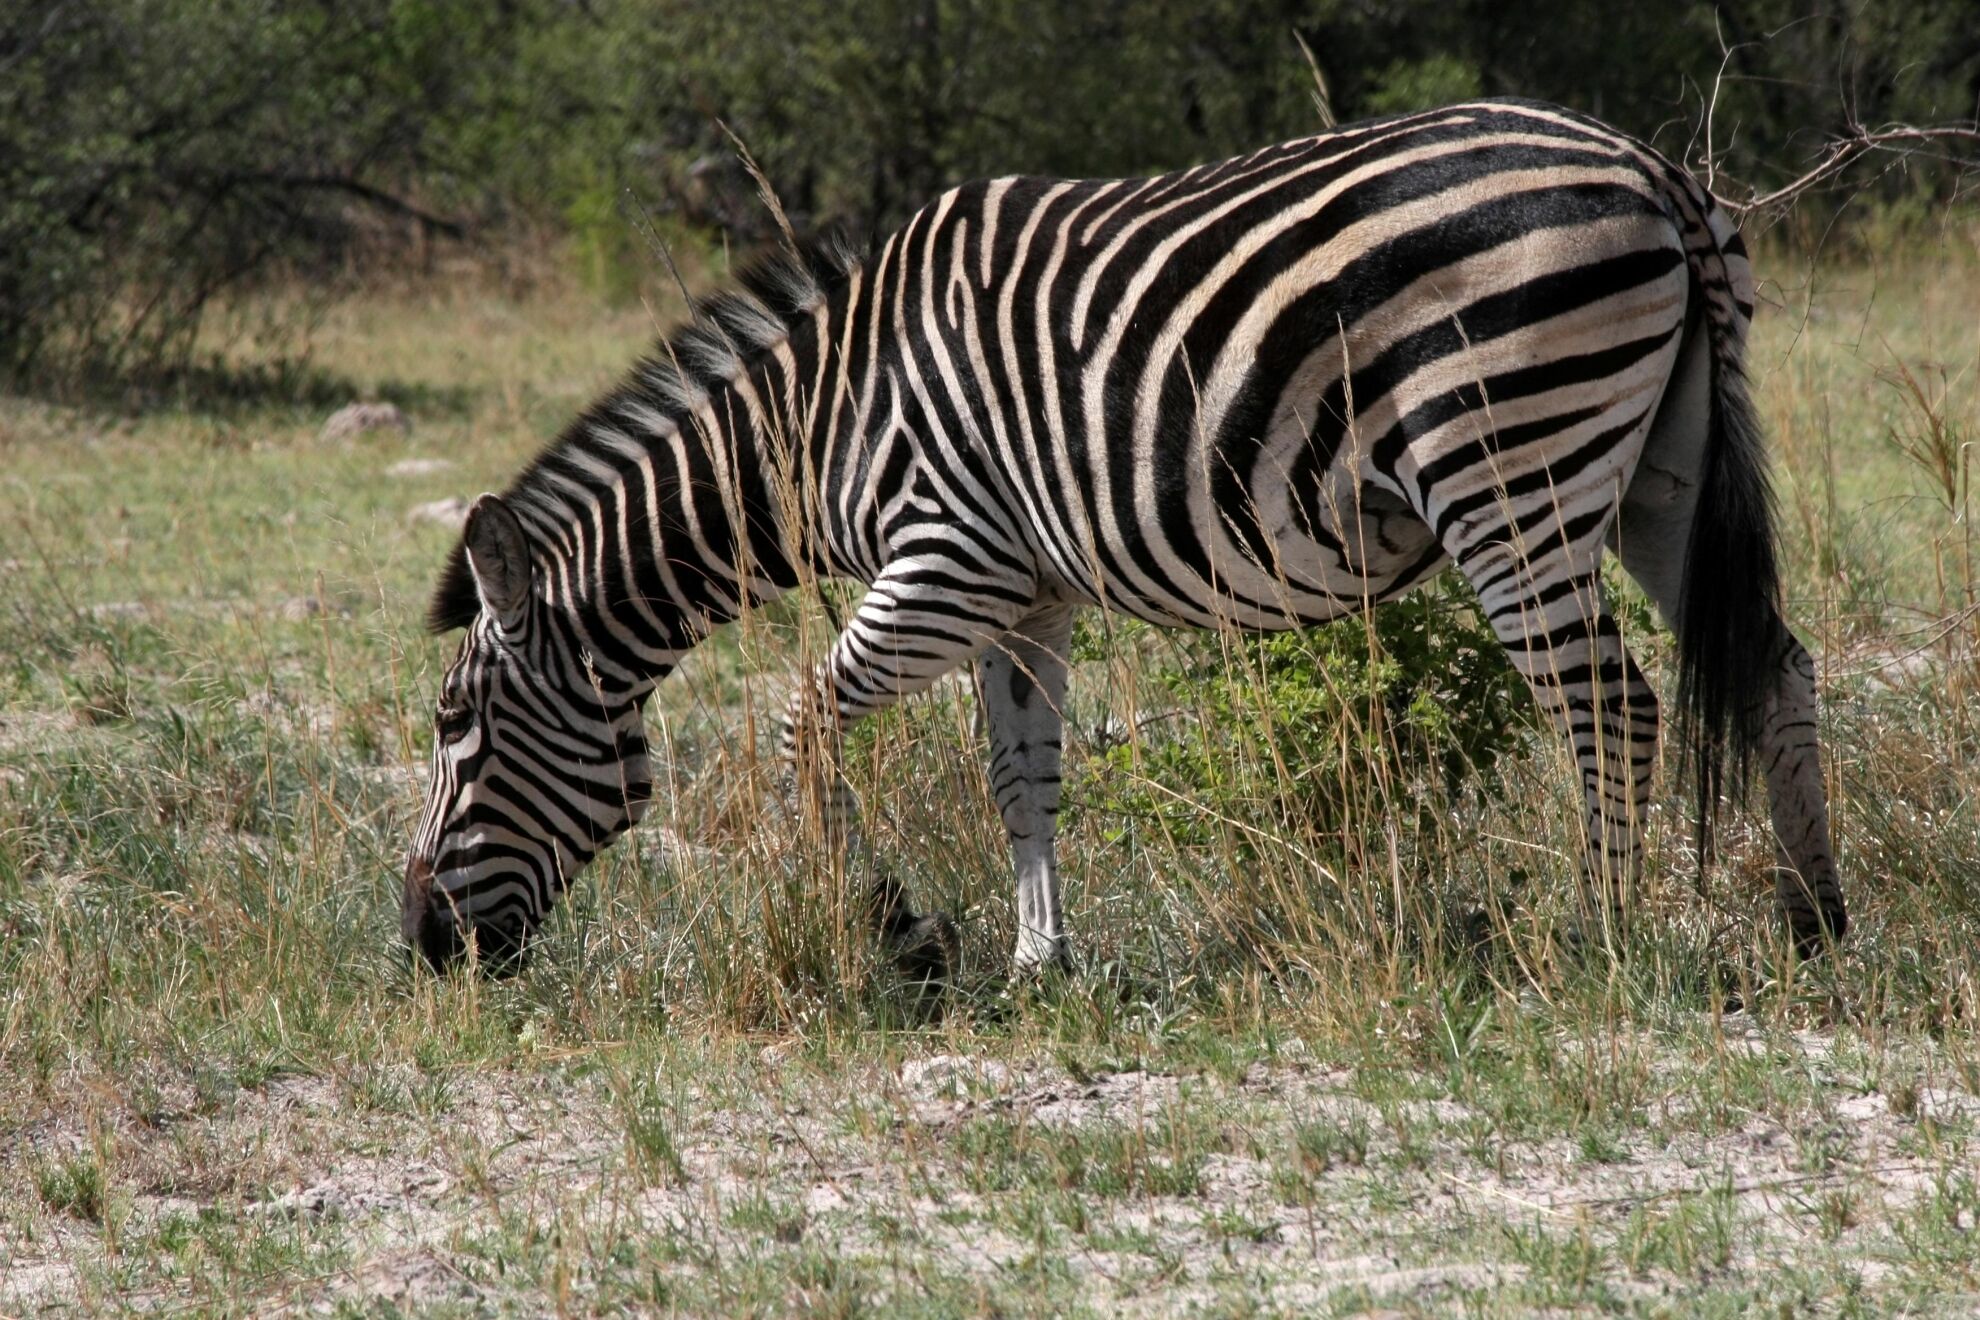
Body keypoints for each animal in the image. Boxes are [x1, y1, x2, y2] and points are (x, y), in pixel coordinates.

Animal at [401, 98, 1848, 978]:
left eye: (455, 729)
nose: (420, 942)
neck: (824, 420)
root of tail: (1652, 169)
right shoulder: (1022, 591)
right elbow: (1021, 775)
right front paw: (1041, 961)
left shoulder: (945, 560)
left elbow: (802, 723)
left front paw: (886, 935)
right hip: (1663, 470)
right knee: (1777, 665)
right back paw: (1817, 918)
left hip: (1511, 469)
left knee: (1609, 703)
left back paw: (1593, 939)